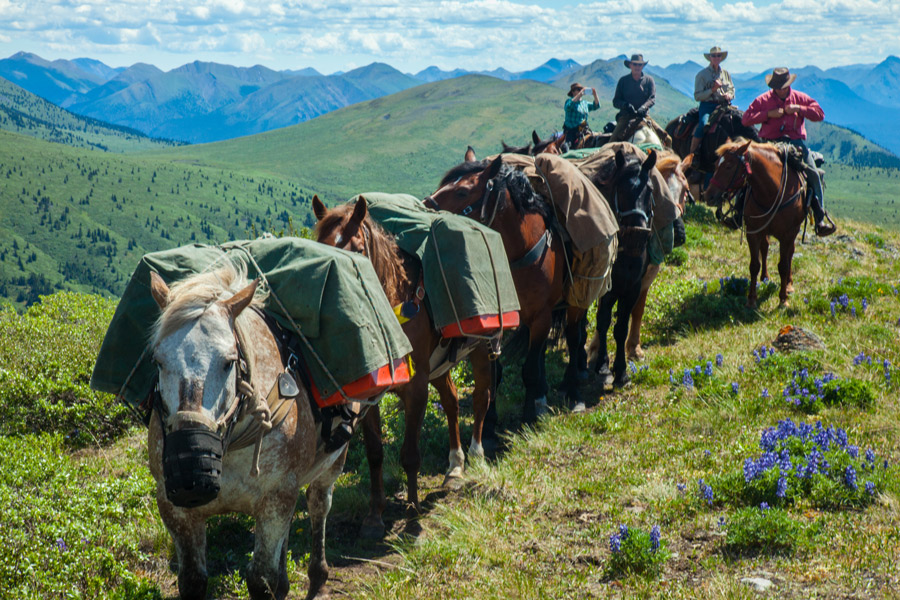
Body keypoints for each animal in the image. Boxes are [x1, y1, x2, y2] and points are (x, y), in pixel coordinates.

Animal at [147, 263, 346, 600]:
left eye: (229, 362)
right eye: (158, 361)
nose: (192, 467)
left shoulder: (275, 499)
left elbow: (260, 579)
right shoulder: (175, 510)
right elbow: (193, 580)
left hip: (332, 463)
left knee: (319, 503)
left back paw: (318, 578)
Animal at [312, 195, 494, 536]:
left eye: (358, 250)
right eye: (318, 248)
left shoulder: (416, 386)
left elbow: (410, 454)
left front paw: (412, 511)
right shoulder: (371, 392)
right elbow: (375, 453)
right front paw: (374, 515)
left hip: (480, 347)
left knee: (480, 397)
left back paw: (476, 454)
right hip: (439, 365)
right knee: (451, 401)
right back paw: (455, 465)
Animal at [425, 148, 583, 423]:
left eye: (462, 192)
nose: (424, 205)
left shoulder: (541, 316)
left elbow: (529, 369)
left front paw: (530, 415)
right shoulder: (496, 323)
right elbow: (493, 374)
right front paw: (489, 424)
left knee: (574, 338)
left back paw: (574, 389)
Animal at [584, 149, 658, 387]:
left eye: (650, 190)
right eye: (621, 189)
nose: (637, 236)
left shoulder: (632, 288)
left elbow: (621, 328)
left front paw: (621, 371)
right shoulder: (607, 289)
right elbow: (604, 321)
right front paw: (602, 364)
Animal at [705, 139, 807, 308]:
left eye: (728, 166)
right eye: (715, 165)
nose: (709, 196)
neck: (772, 192)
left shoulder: (787, 235)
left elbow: (783, 265)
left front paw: (783, 299)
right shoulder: (753, 232)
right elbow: (754, 265)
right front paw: (751, 299)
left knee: (790, 254)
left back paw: (789, 285)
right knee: (765, 248)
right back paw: (765, 277)